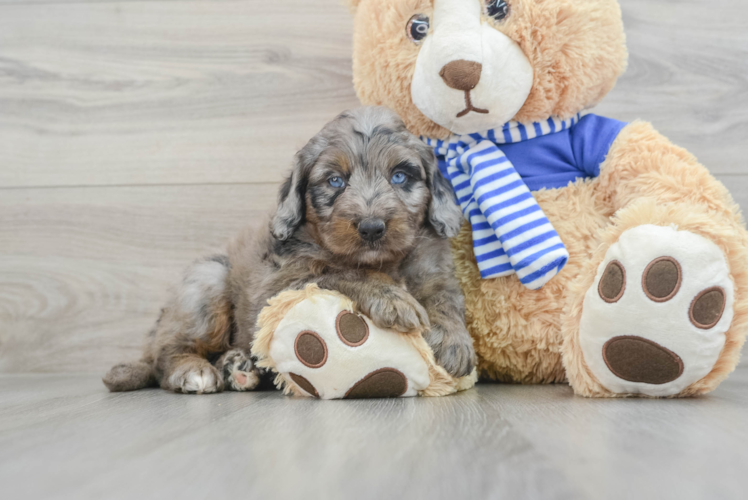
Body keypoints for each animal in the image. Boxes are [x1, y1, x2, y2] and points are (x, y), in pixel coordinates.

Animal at [103, 106, 476, 394]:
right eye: (335, 181)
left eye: (400, 176)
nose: (371, 227)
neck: (385, 262)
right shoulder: (277, 287)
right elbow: (338, 270)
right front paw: (393, 298)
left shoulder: (435, 269)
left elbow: (445, 299)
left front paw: (455, 341)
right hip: (207, 282)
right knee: (165, 352)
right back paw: (194, 371)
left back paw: (238, 366)